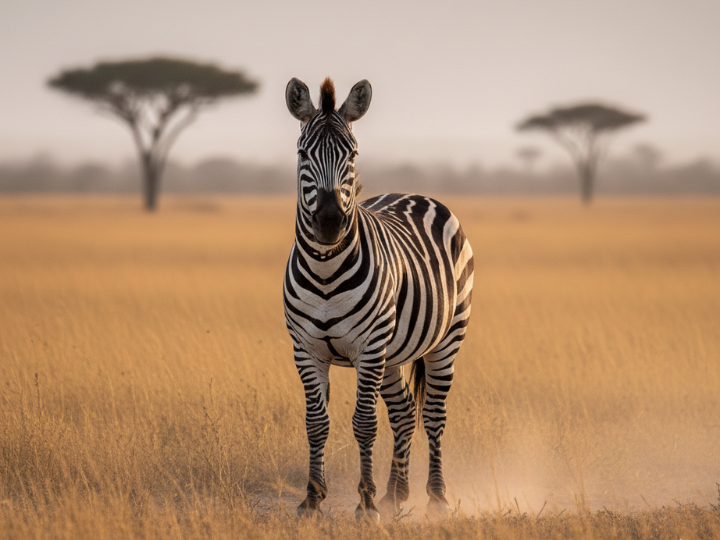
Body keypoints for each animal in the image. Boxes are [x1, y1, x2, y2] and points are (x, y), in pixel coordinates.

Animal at [284, 77, 474, 521]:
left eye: (352, 154)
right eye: (302, 153)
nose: (330, 223)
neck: (325, 273)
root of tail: (417, 194)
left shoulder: (368, 348)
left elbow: (365, 423)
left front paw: (365, 502)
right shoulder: (306, 349)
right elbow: (316, 422)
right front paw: (312, 499)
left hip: (446, 338)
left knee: (432, 414)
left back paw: (436, 497)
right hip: (393, 352)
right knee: (404, 412)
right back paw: (395, 494)